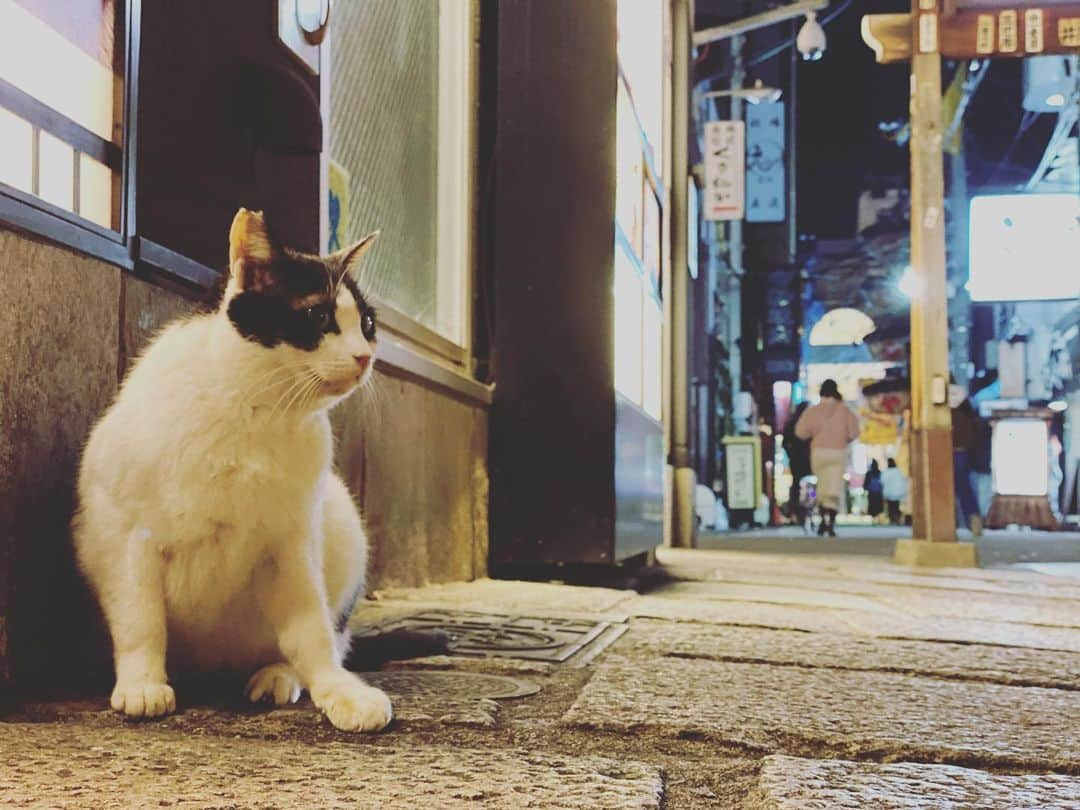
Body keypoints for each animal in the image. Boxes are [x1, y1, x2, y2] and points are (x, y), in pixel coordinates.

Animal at [72, 206, 393, 734]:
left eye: (366, 323)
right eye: (318, 316)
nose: (365, 357)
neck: (255, 409)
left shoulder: (291, 544)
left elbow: (312, 632)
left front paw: (338, 690)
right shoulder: (124, 536)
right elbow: (141, 620)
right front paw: (142, 683)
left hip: (342, 524)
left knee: (322, 633)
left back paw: (278, 676)